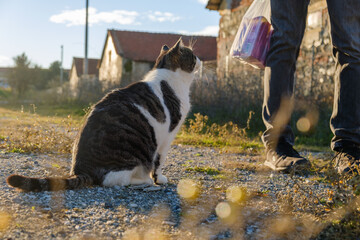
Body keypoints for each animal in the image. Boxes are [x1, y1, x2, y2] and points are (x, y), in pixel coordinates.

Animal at [6, 38, 200, 191]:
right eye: (192, 54)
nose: (200, 59)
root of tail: (81, 168)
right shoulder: (167, 135)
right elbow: (159, 162)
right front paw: (159, 179)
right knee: (114, 180)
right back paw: (143, 181)